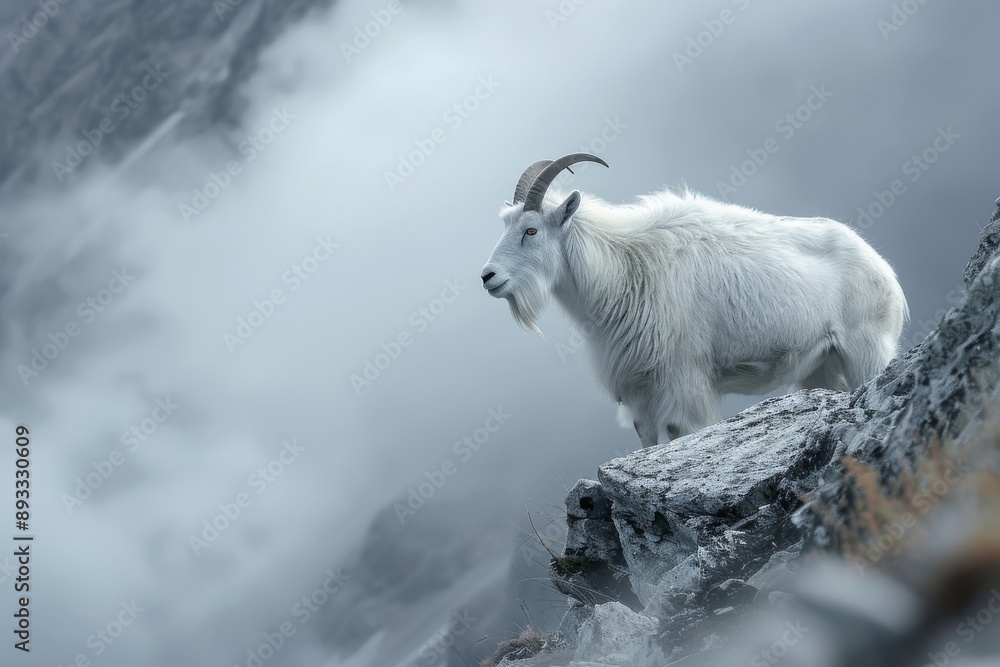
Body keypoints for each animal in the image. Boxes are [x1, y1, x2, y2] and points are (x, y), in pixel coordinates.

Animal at [480, 153, 908, 448]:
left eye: (531, 230)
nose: (488, 277)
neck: (625, 270)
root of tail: (884, 271)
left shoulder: (684, 382)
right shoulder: (640, 393)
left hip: (867, 350)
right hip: (820, 366)